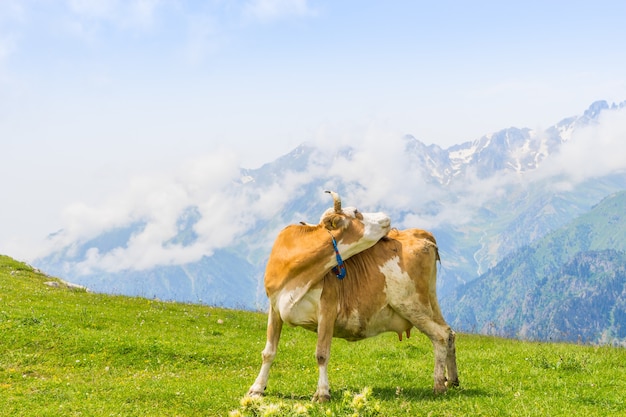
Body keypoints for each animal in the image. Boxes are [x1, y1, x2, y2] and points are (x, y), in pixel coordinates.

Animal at [246, 193, 456, 402]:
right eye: (356, 211)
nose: (385, 216)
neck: (298, 270)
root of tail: (419, 233)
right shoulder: (275, 307)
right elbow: (268, 352)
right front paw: (257, 388)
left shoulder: (328, 308)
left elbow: (321, 354)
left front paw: (322, 393)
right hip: (428, 302)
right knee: (449, 333)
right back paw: (452, 381)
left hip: (412, 304)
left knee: (440, 335)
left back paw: (439, 384)